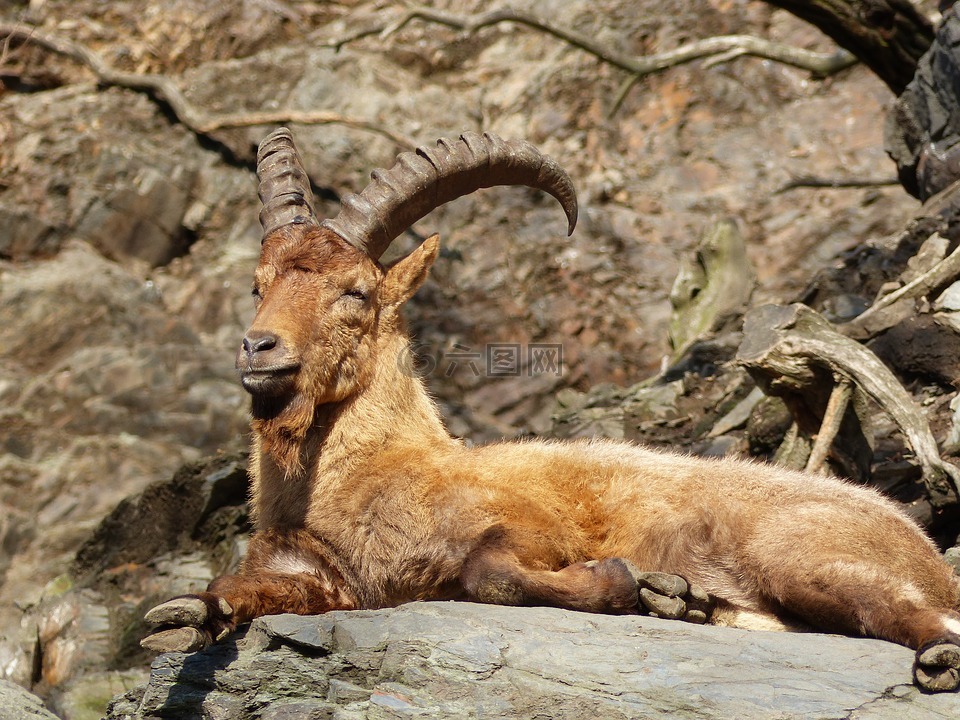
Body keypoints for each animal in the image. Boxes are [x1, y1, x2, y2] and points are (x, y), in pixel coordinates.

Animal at [142, 128, 960, 692]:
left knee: (912, 613)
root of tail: (915, 537)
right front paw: (184, 616)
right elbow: (233, 590)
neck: (373, 476)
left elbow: (490, 572)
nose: (259, 349)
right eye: (258, 284)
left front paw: (627, 583)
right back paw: (691, 603)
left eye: (357, 291)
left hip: (803, 554)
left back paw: (933, 656)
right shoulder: (324, 579)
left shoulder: (527, 525)